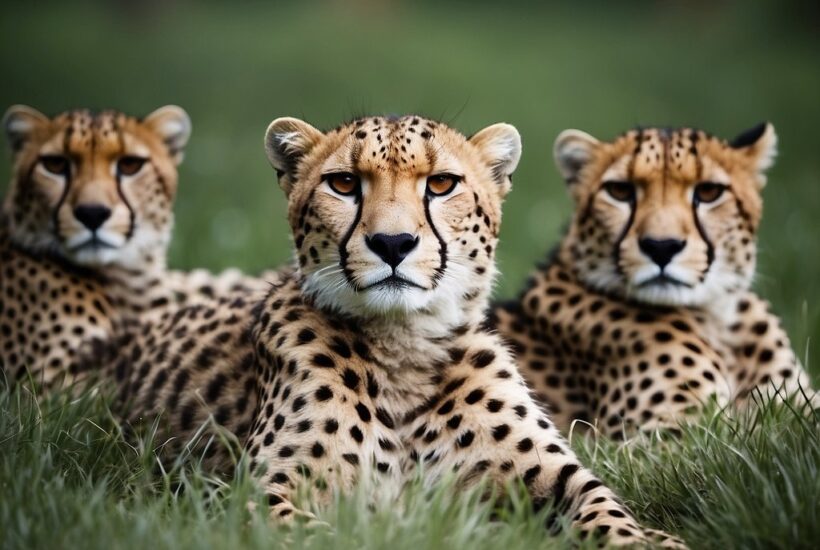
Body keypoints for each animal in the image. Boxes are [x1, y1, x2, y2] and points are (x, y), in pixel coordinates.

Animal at [490, 123, 815, 439]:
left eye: (709, 192)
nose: (661, 247)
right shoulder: (660, 439)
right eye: (619, 191)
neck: (717, 320)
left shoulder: (795, 405)